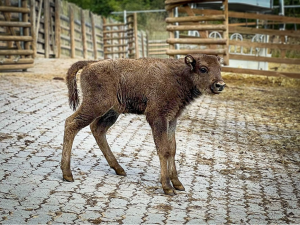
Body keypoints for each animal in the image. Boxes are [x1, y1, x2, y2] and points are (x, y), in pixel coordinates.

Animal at [61, 54, 225, 195]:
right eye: (203, 68)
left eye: (220, 68)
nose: (220, 85)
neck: (180, 75)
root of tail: (91, 64)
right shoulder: (157, 118)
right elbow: (163, 149)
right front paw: (167, 187)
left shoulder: (172, 119)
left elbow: (172, 148)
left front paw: (178, 184)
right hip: (95, 105)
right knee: (71, 123)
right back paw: (67, 174)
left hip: (112, 111)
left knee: (97, 129)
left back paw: (119, 169)